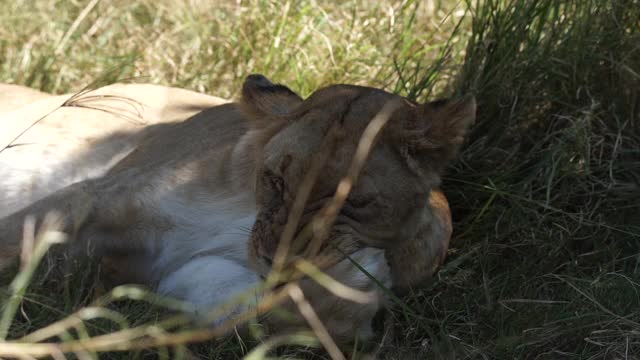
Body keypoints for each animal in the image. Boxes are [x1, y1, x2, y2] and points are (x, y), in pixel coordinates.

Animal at [0, 76, 476, 348]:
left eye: (354, 202)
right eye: (276, 179)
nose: (276, 259)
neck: (240, 218)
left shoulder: (197, 285)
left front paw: (353, 278)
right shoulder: (104, 198)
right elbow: (14, 235)